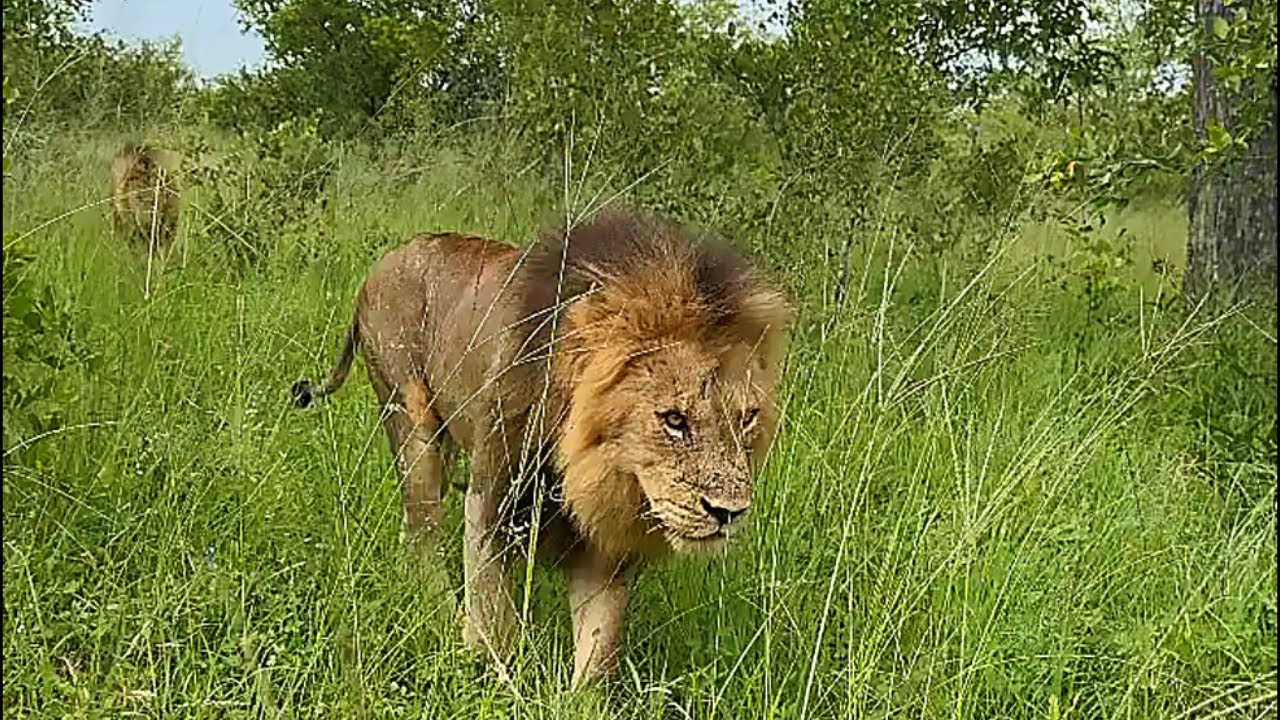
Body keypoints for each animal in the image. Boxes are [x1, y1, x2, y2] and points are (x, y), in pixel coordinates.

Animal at [290, 207, 791, 686]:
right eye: (673, 420)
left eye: (747, 417)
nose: (729, 512)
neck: (587, 467)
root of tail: (386, 259)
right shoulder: (492, 502)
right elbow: (495, 625)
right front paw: (490, 679)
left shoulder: (604, 550)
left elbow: (597, 657)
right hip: (410, 421)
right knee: (422, 530)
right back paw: (444, 619)